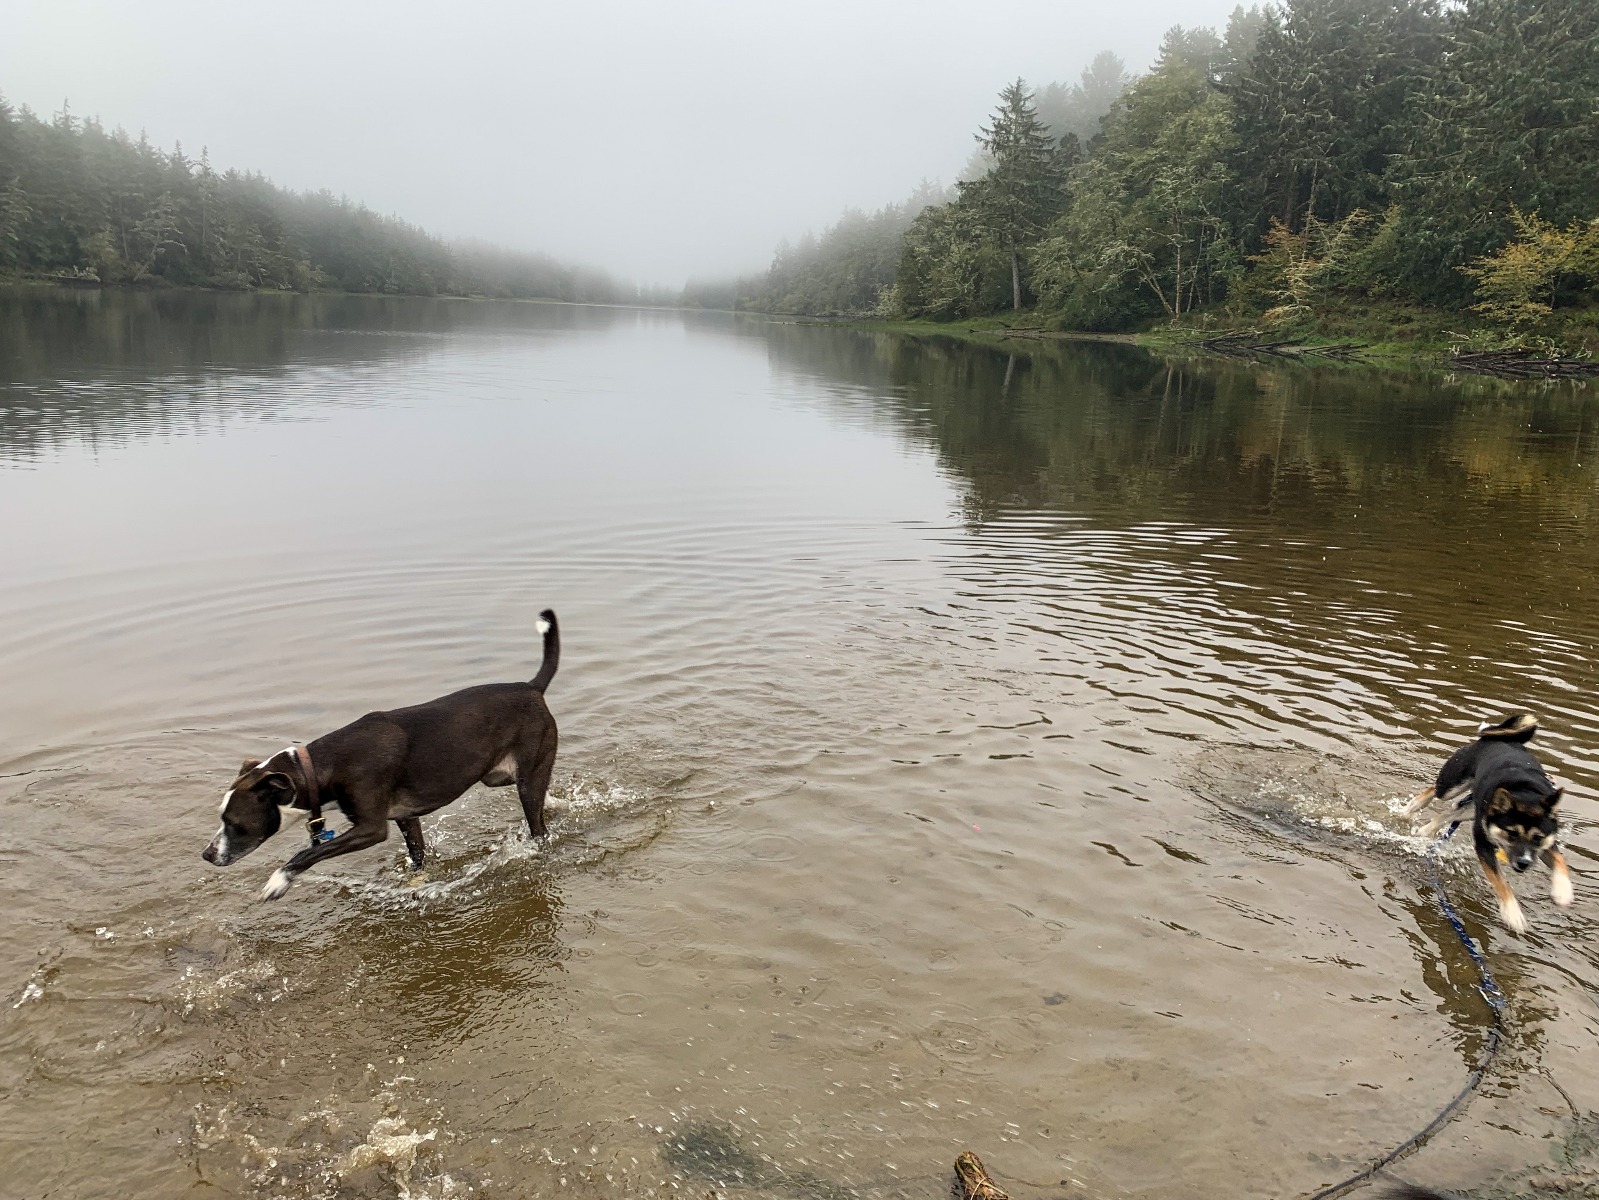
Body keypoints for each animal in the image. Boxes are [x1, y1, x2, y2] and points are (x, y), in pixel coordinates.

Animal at [203, 611, 559, 902]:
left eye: (233, 823)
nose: (207, 854)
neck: (323, 766)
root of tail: (530, 687)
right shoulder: (405, 816)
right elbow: (417, 855)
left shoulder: (371, 828)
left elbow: (306, 854)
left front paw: (278, 881)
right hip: (499, 776)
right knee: (539, 791)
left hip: (526, 778)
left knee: (537, 823)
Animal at [1400, 713, 1573, 940]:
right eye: (1511, 833)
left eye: (1537, 838)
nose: (1523, 863)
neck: (1523, 792)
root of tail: (1494, 739)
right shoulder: (1483, 844)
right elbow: (1500, 882)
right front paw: (1512, 914)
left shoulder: (1547, 843)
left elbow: (1560, 861)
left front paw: (1563, 892)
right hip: (1452, 785)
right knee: (1433, 791)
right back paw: (1411, 808)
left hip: (1471, 809)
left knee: (1449, 813)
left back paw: (1425, 830)